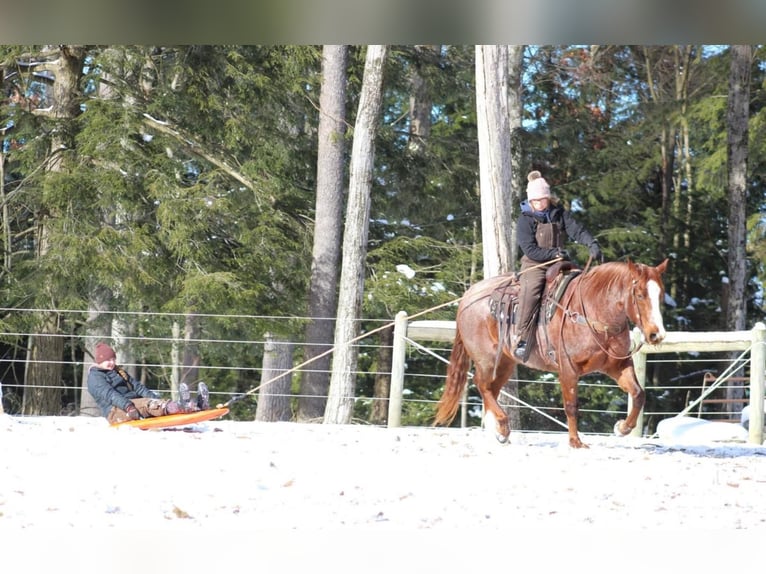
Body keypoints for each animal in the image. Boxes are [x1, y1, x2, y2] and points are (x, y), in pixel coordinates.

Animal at [438, 260, 672, 450]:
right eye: (640, 294)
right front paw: (575, 441)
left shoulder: (618, 366)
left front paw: (622, 428)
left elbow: (638, 394)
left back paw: (498, 433)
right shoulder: (568, 368)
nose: (656, 334)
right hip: (486, 359)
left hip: (505, 362)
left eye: (660, 295)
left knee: (491, 390)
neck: (592, 312)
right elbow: (571, 405)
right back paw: (503, 426)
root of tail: (469, 296)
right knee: (482, 384)